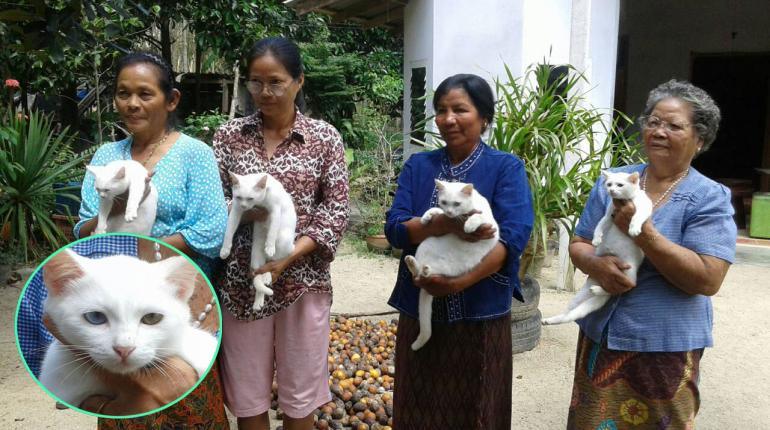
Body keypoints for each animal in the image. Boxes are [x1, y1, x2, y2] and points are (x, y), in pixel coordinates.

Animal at [219, 172, 297, 312]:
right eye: (239, 197)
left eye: (250, 198)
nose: (244, 206)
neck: (261, 202)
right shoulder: (236, 210)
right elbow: (229, 230)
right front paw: (225, 250)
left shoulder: (275, 211)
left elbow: (272, 231)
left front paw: (270, 246)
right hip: (256, 254)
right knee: (260, 272)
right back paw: (258, 301)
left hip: (283, 240)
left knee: (277, 258)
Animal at [404, 179, 500, 350]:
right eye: (444, 202)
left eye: (456, 203)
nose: (449, 212)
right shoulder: (443, 215)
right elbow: (436, 211)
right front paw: (426, 217)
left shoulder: (491, 226)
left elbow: (478, 216)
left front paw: (469, 225)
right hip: (426, 244)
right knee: (418, 272)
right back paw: (414, 264)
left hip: (451, 268)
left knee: (426, 273)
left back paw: (426, 269)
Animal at [542, 171, 652, 326]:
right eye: (609, 184)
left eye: (620, 185)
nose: (611, 190)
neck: (625, 201)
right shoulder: (609, 215)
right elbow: (600, 224)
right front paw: (596, 239)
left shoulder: (643, 208)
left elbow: (637, 217)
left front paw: (634, 228)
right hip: (579, 298)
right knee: (567, 314)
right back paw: (551, 320)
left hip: (629, 272)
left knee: (624, 287)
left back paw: (598, 290)